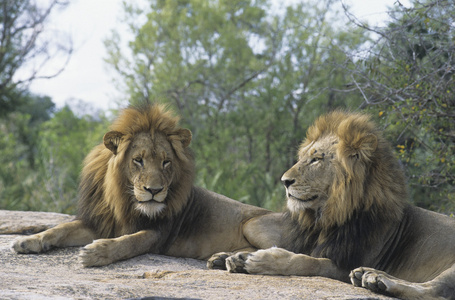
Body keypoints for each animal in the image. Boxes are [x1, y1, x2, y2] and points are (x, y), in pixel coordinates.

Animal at [10, 103, 284, 268]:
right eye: (138, 160)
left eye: (166, 162)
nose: (154, 191)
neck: (123, 202)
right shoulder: (99, 222)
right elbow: (60, 229)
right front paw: (28, 241)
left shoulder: (157, 234)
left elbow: (129, 242)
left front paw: (95, 253)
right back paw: (226, 259)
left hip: (252, 224)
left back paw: (240, 259)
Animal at [225, 111, 455, 300]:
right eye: (302, 157)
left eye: (316, 159)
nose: (284, 181)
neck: (326, 219)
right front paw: (234, 257)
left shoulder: (344, 265)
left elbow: (311, 262)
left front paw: (261, 259)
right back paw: (369, 276)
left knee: (433, 291)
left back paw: (378, 280)